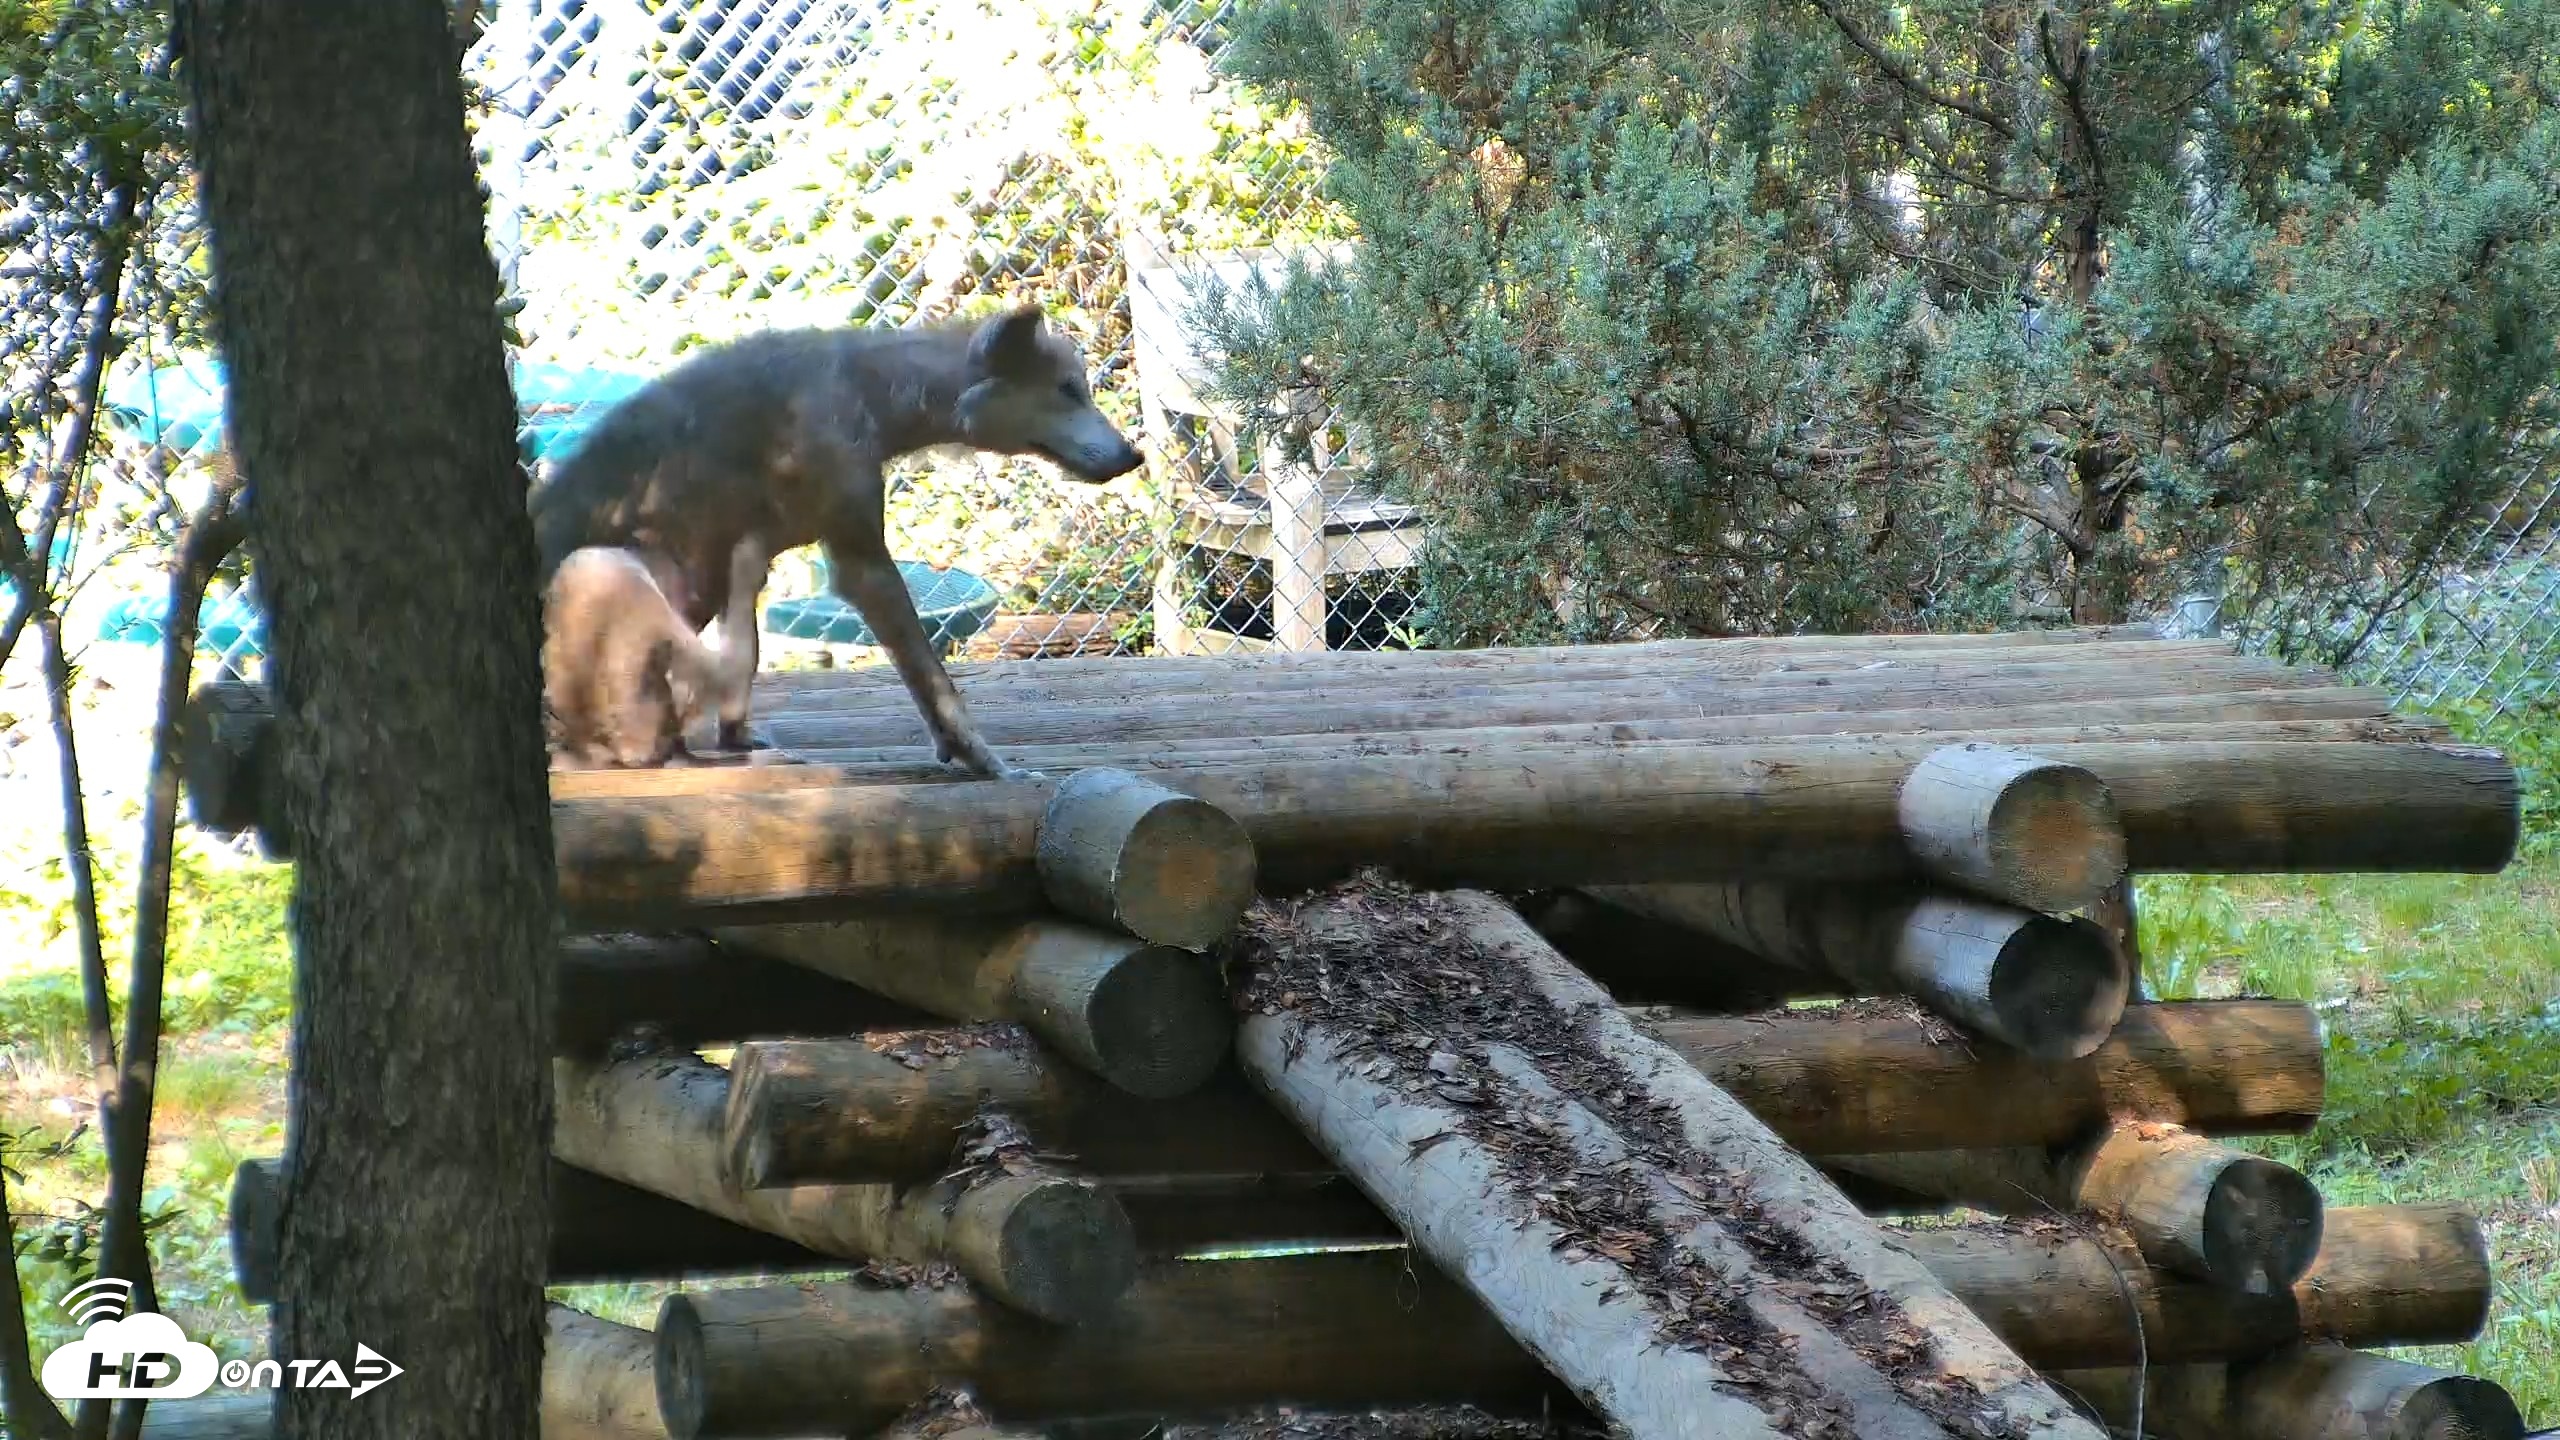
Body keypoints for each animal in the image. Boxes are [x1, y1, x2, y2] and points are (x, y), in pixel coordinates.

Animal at [526, 305, 1144, 778]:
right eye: (1068, 390)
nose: (1134, 455)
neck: (869, 388)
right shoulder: (862, 564)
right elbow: (939, 686)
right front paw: (987, 763)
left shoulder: (767, 561)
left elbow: (745, 668)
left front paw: (739, 737)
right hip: (605, 568)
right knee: (645, 755)